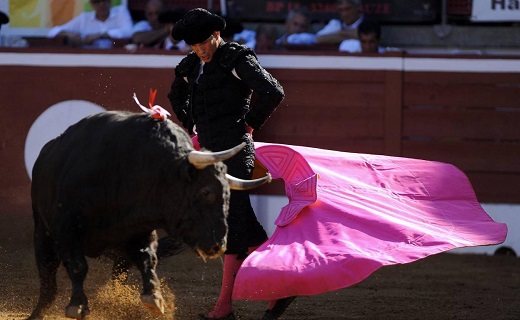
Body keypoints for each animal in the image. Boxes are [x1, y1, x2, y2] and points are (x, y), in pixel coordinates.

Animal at [27, 111, 272, 318]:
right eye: (205, 192)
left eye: (228, 196)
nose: (217, 246)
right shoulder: (67, 228)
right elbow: (78, 265)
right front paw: (77, 306)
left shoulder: (139, 230)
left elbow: (147, 259)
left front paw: (154, 298)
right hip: (43, 234)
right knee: (48, 280)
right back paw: (37, 313)